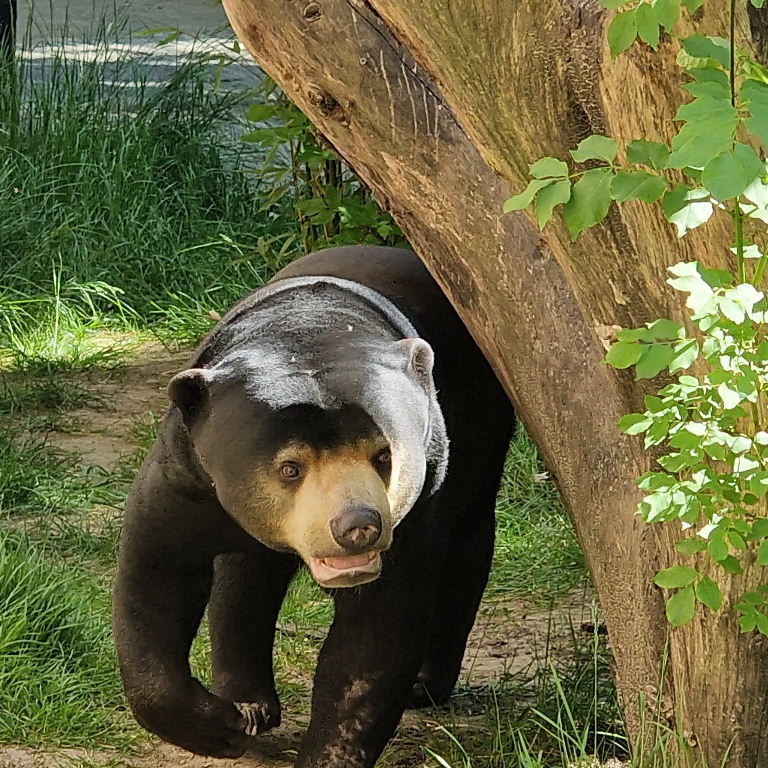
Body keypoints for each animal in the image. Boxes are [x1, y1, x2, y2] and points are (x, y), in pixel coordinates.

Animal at [113, 245, 515, 767]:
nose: (358, 525)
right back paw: (252, 704)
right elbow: (155, 578)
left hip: (482, 428)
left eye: (383, 456)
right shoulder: (186, 476)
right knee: (245, 576)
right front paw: (222, 728)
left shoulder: (416, 509)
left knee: (468, 547)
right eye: (290, 468)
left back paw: (426, 685)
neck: (306, 329)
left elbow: (370, 645)